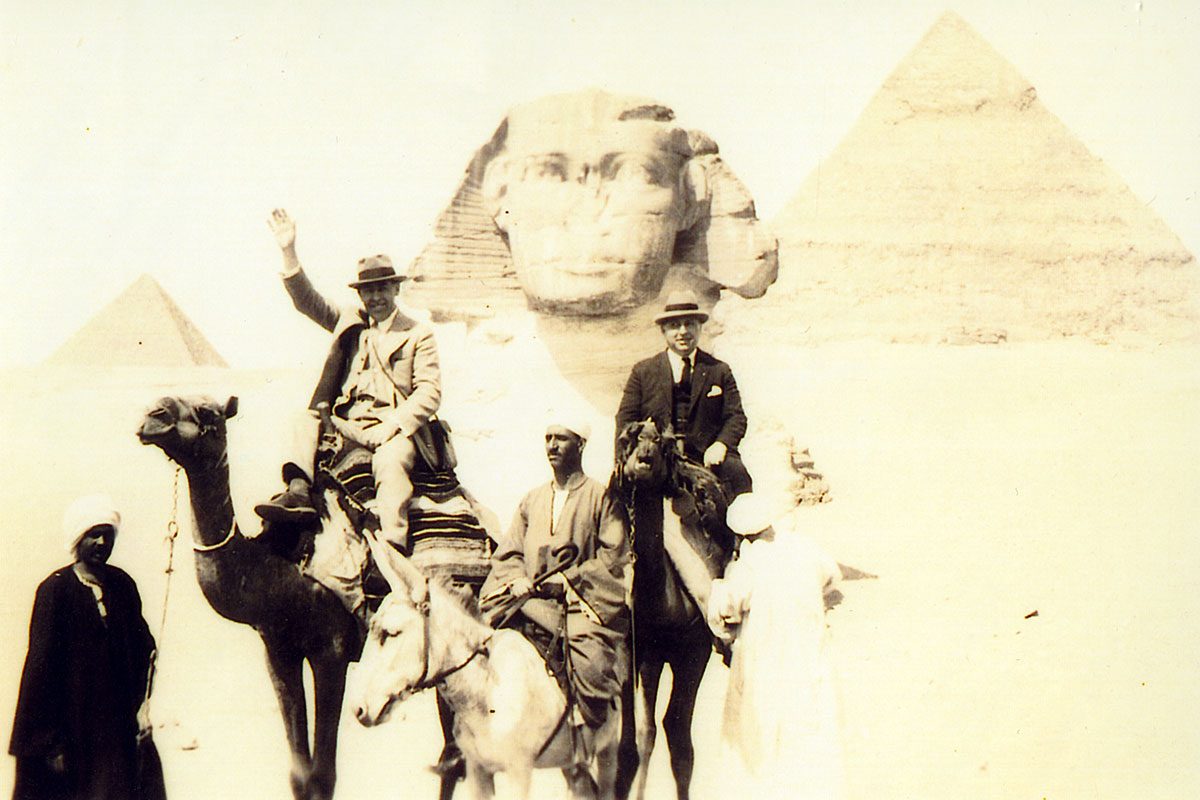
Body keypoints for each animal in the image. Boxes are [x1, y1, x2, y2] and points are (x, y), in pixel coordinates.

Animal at [614, 419, 734, 800]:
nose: (643, 460)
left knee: (675, 733)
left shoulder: (691, 652)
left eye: (660, 445)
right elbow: (634, 742)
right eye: (629, 439)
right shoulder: (635, 650)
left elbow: (672, 740)